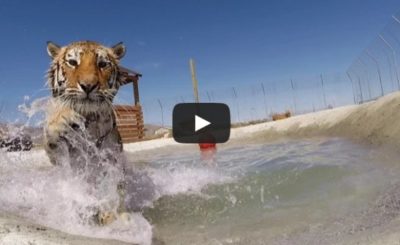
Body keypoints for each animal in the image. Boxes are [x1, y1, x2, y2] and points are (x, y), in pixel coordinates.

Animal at [45, 40, 130, 226]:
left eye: (103, 64)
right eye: (72, 62)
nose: (88, 86)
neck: (89, 120)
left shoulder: (112, 157)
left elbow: (112, 188)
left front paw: (111, 216)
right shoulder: (60, 155)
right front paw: (62, 117)